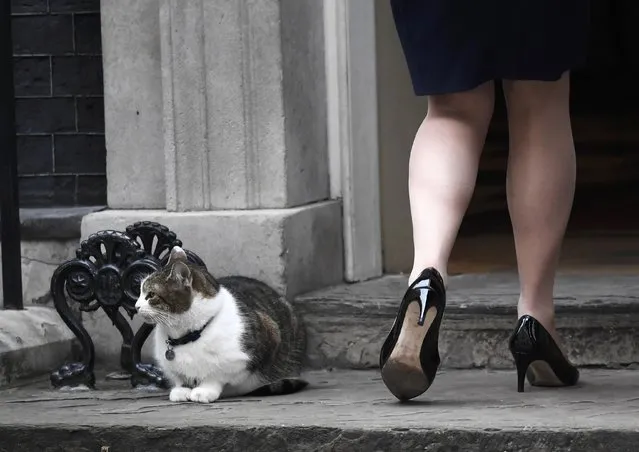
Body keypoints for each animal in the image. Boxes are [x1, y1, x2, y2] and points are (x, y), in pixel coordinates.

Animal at [134, 245, 308, 404]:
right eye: (140, 292)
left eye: (151, 295)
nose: (136, 306)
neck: (186, 335)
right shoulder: (171, 366)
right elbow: (180, 376)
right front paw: (181, 390)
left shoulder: (254, 348)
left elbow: (217, 374)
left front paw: (204, 391)